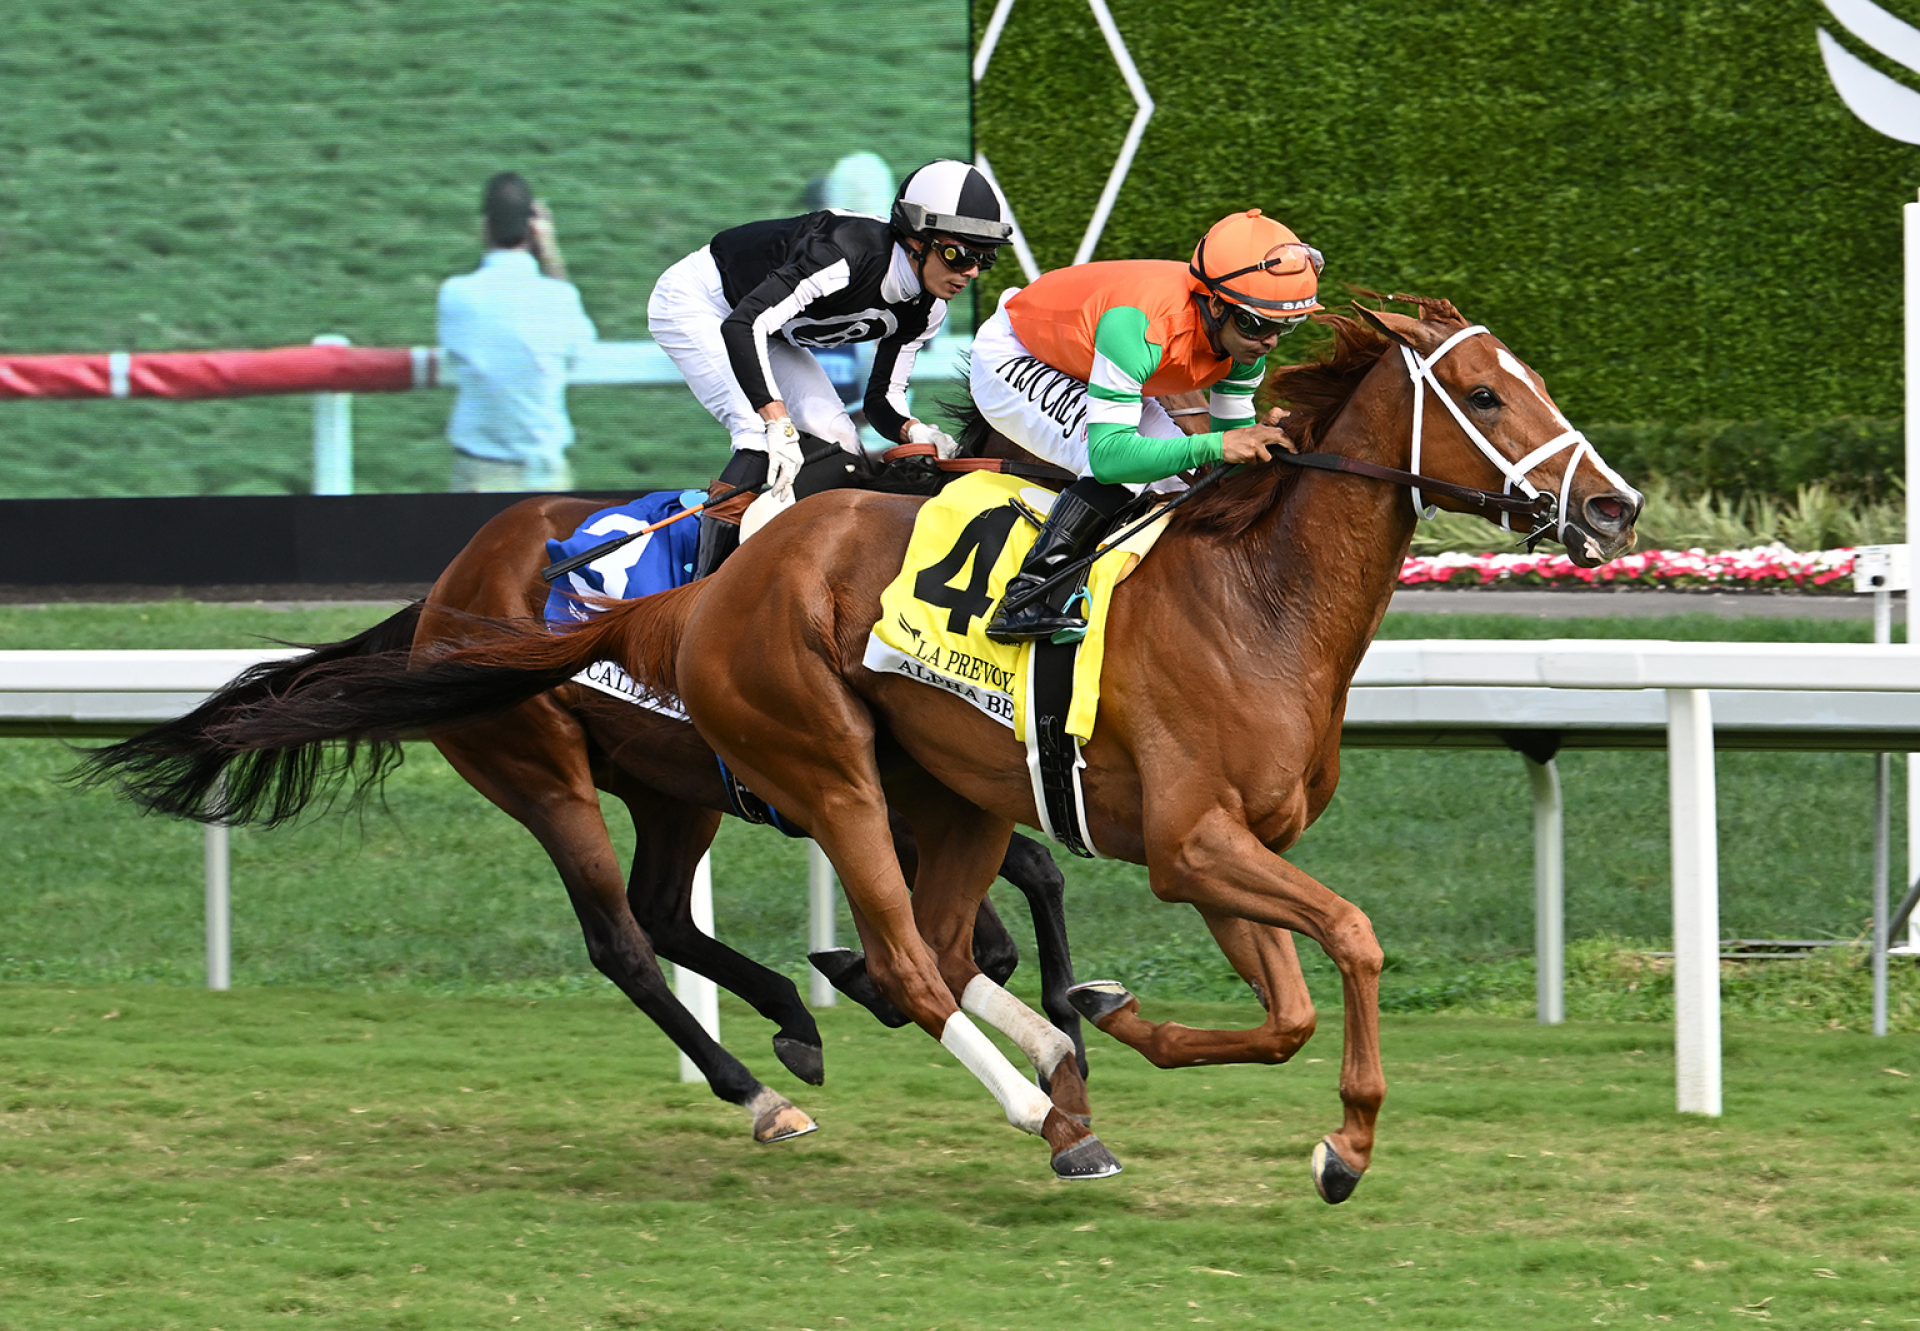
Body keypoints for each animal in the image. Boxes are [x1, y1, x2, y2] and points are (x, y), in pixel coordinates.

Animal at [74, 297, 1635, 1190]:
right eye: (1484, 397)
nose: (1614, 507)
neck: (1254, 598)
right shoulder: (1193, 840)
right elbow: (1351, 942)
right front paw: (1342, 1139)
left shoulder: (1207, 851)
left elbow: (1285, 1002)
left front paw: (1120, 1018)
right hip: (717, 766)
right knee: (723, 942)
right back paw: (912, 1093)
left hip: (803, 787)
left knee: (817, 932)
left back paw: (883, 1039)